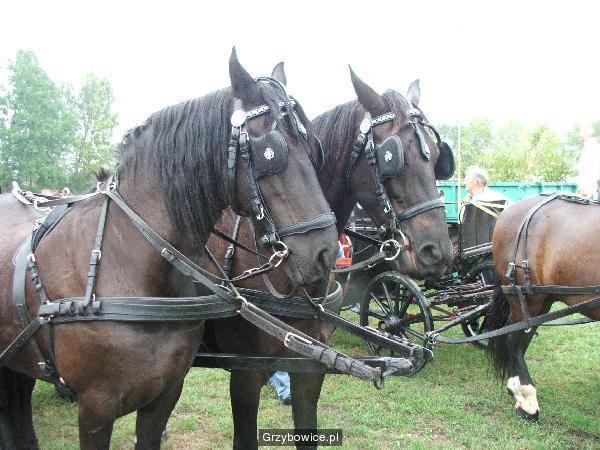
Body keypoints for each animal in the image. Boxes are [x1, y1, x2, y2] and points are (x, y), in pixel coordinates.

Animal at [0, 49, 338, 449]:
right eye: (271, 152)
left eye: (314, 148)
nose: (326, 252)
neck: (126, 263)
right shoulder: (96, 407)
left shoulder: (166, 392)